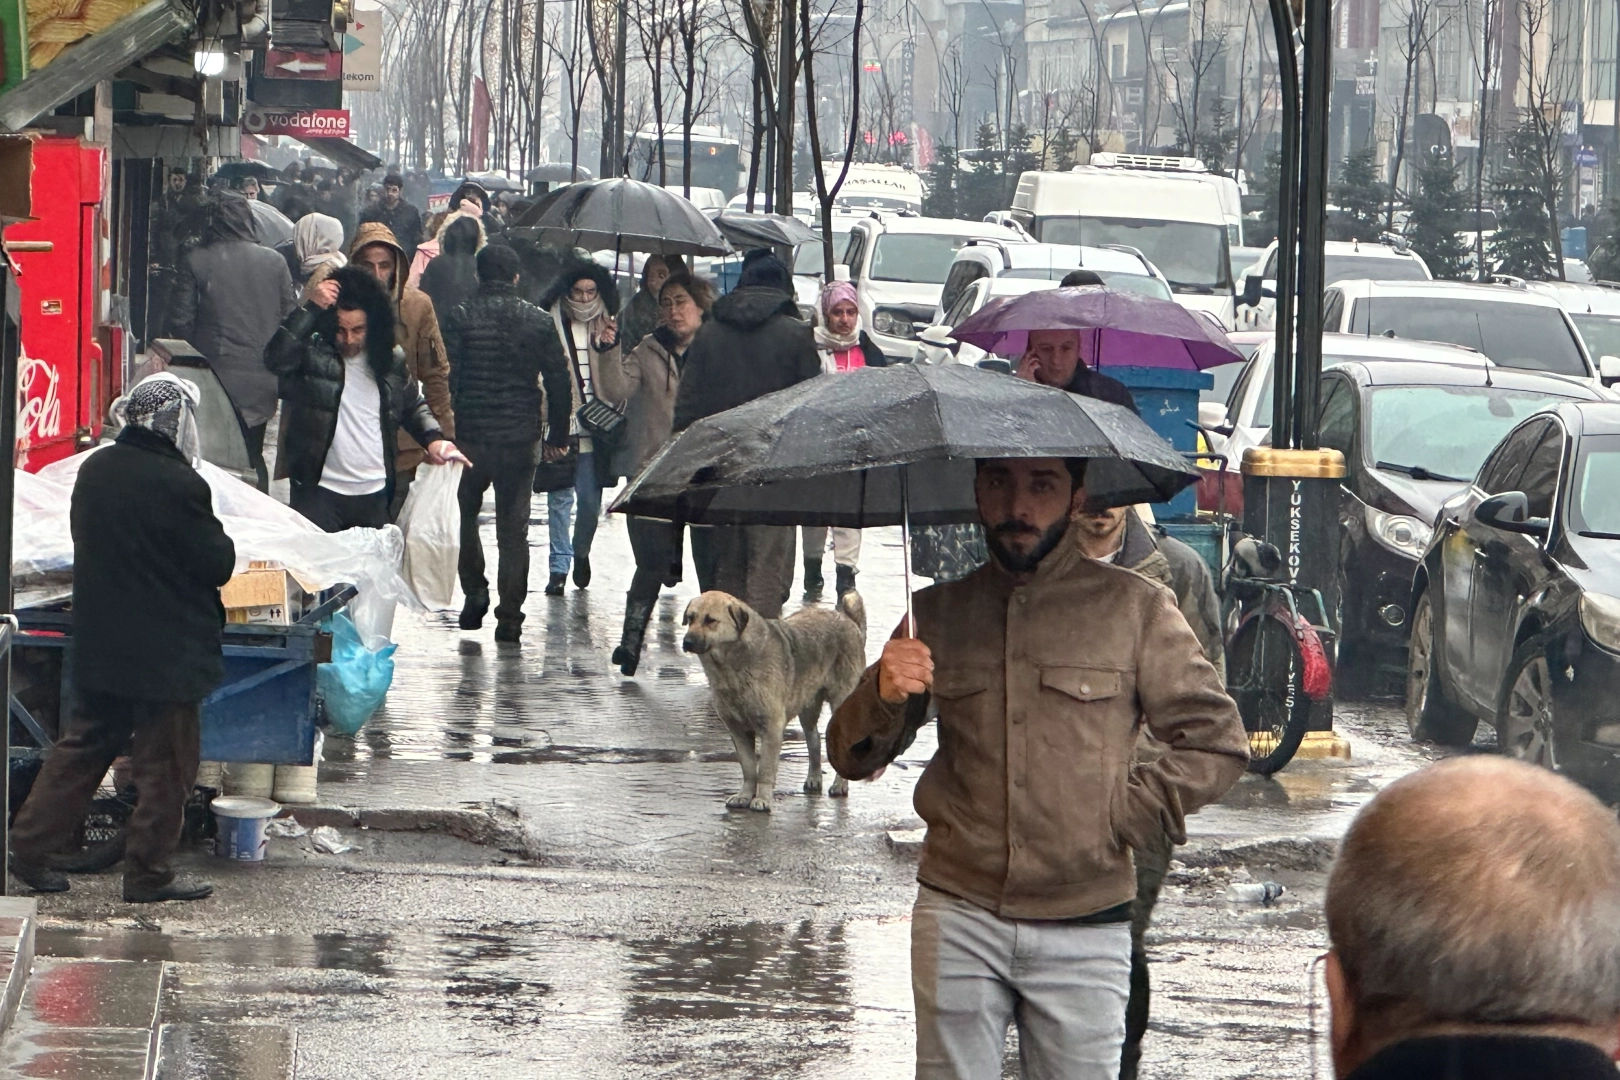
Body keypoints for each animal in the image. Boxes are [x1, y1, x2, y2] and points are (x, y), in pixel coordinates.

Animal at [680, 592, 868, 809]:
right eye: (690, 618)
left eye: (710, 620)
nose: (686, 642)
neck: (734, 665)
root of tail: (848, 620)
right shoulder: (738, 731)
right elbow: (749, 768)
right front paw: (745, 795)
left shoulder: (771, 729)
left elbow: (765, 769)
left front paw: (762, 798)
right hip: (808, 708)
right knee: (814, 742)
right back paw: (814, 778)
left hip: (841, 706)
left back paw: (840, 785)